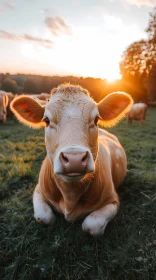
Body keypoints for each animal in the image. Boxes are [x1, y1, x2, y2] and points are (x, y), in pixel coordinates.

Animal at [10, 83, 133, 236]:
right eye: (46, 120)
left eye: (96, 119)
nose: (75, 159)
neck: (70, 196)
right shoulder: (38, 190)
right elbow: (44, 217)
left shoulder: (113, 200)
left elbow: (91, 226)